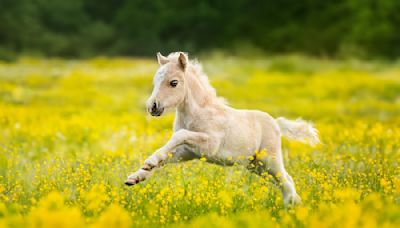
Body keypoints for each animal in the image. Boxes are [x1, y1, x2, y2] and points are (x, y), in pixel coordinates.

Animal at [125, 52, 318, 206]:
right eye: (155, 81)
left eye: (174, 83)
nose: (153, 107)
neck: (198, 112)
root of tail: (276, 123)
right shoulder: (188, 152)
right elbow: (166, 156)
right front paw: (137, 176)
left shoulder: (209, 144)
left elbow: (179, 135)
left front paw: (149, 162)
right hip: (256, 166)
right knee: (285, 182)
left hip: (270, 160)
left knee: (286, 181)